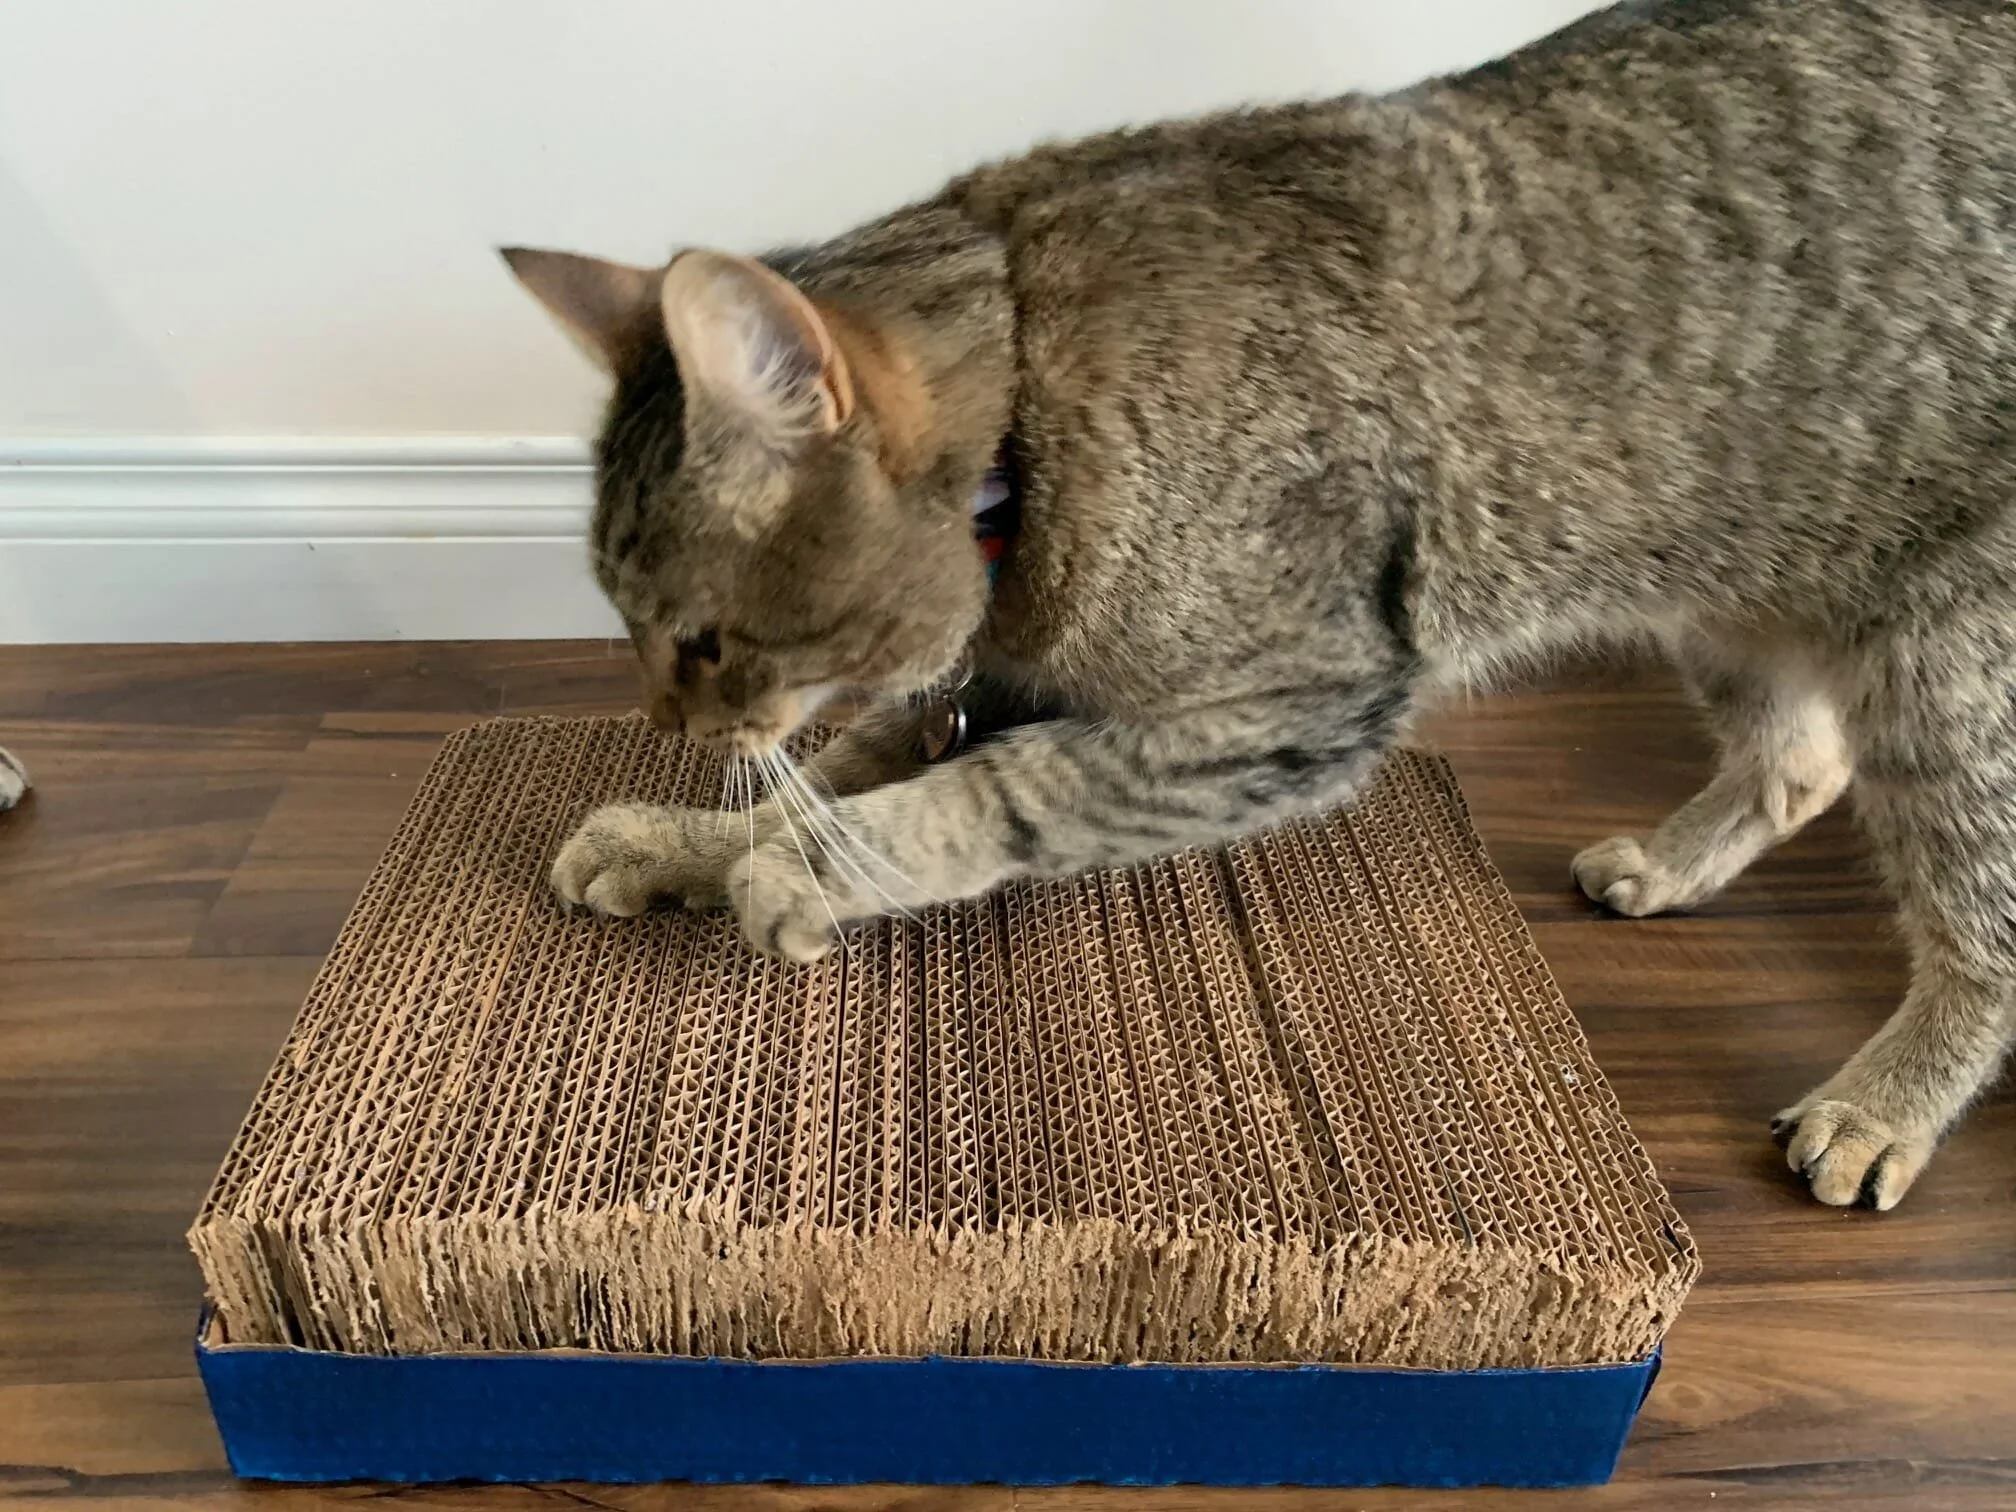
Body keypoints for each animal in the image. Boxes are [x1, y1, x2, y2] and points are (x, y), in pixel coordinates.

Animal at [504, 0, 2016, 1212]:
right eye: (623, 621)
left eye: (699, 640)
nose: (664, 716)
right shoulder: (997, 681)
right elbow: (834, 770)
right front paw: (696, 838)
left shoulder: (1293, 700)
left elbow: (976, 798)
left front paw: (803, 867)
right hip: (1725, 567)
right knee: (1800, 761)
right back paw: (1675, 862)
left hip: (1945, 656)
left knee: (1979, 924)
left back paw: (1886, 1100)